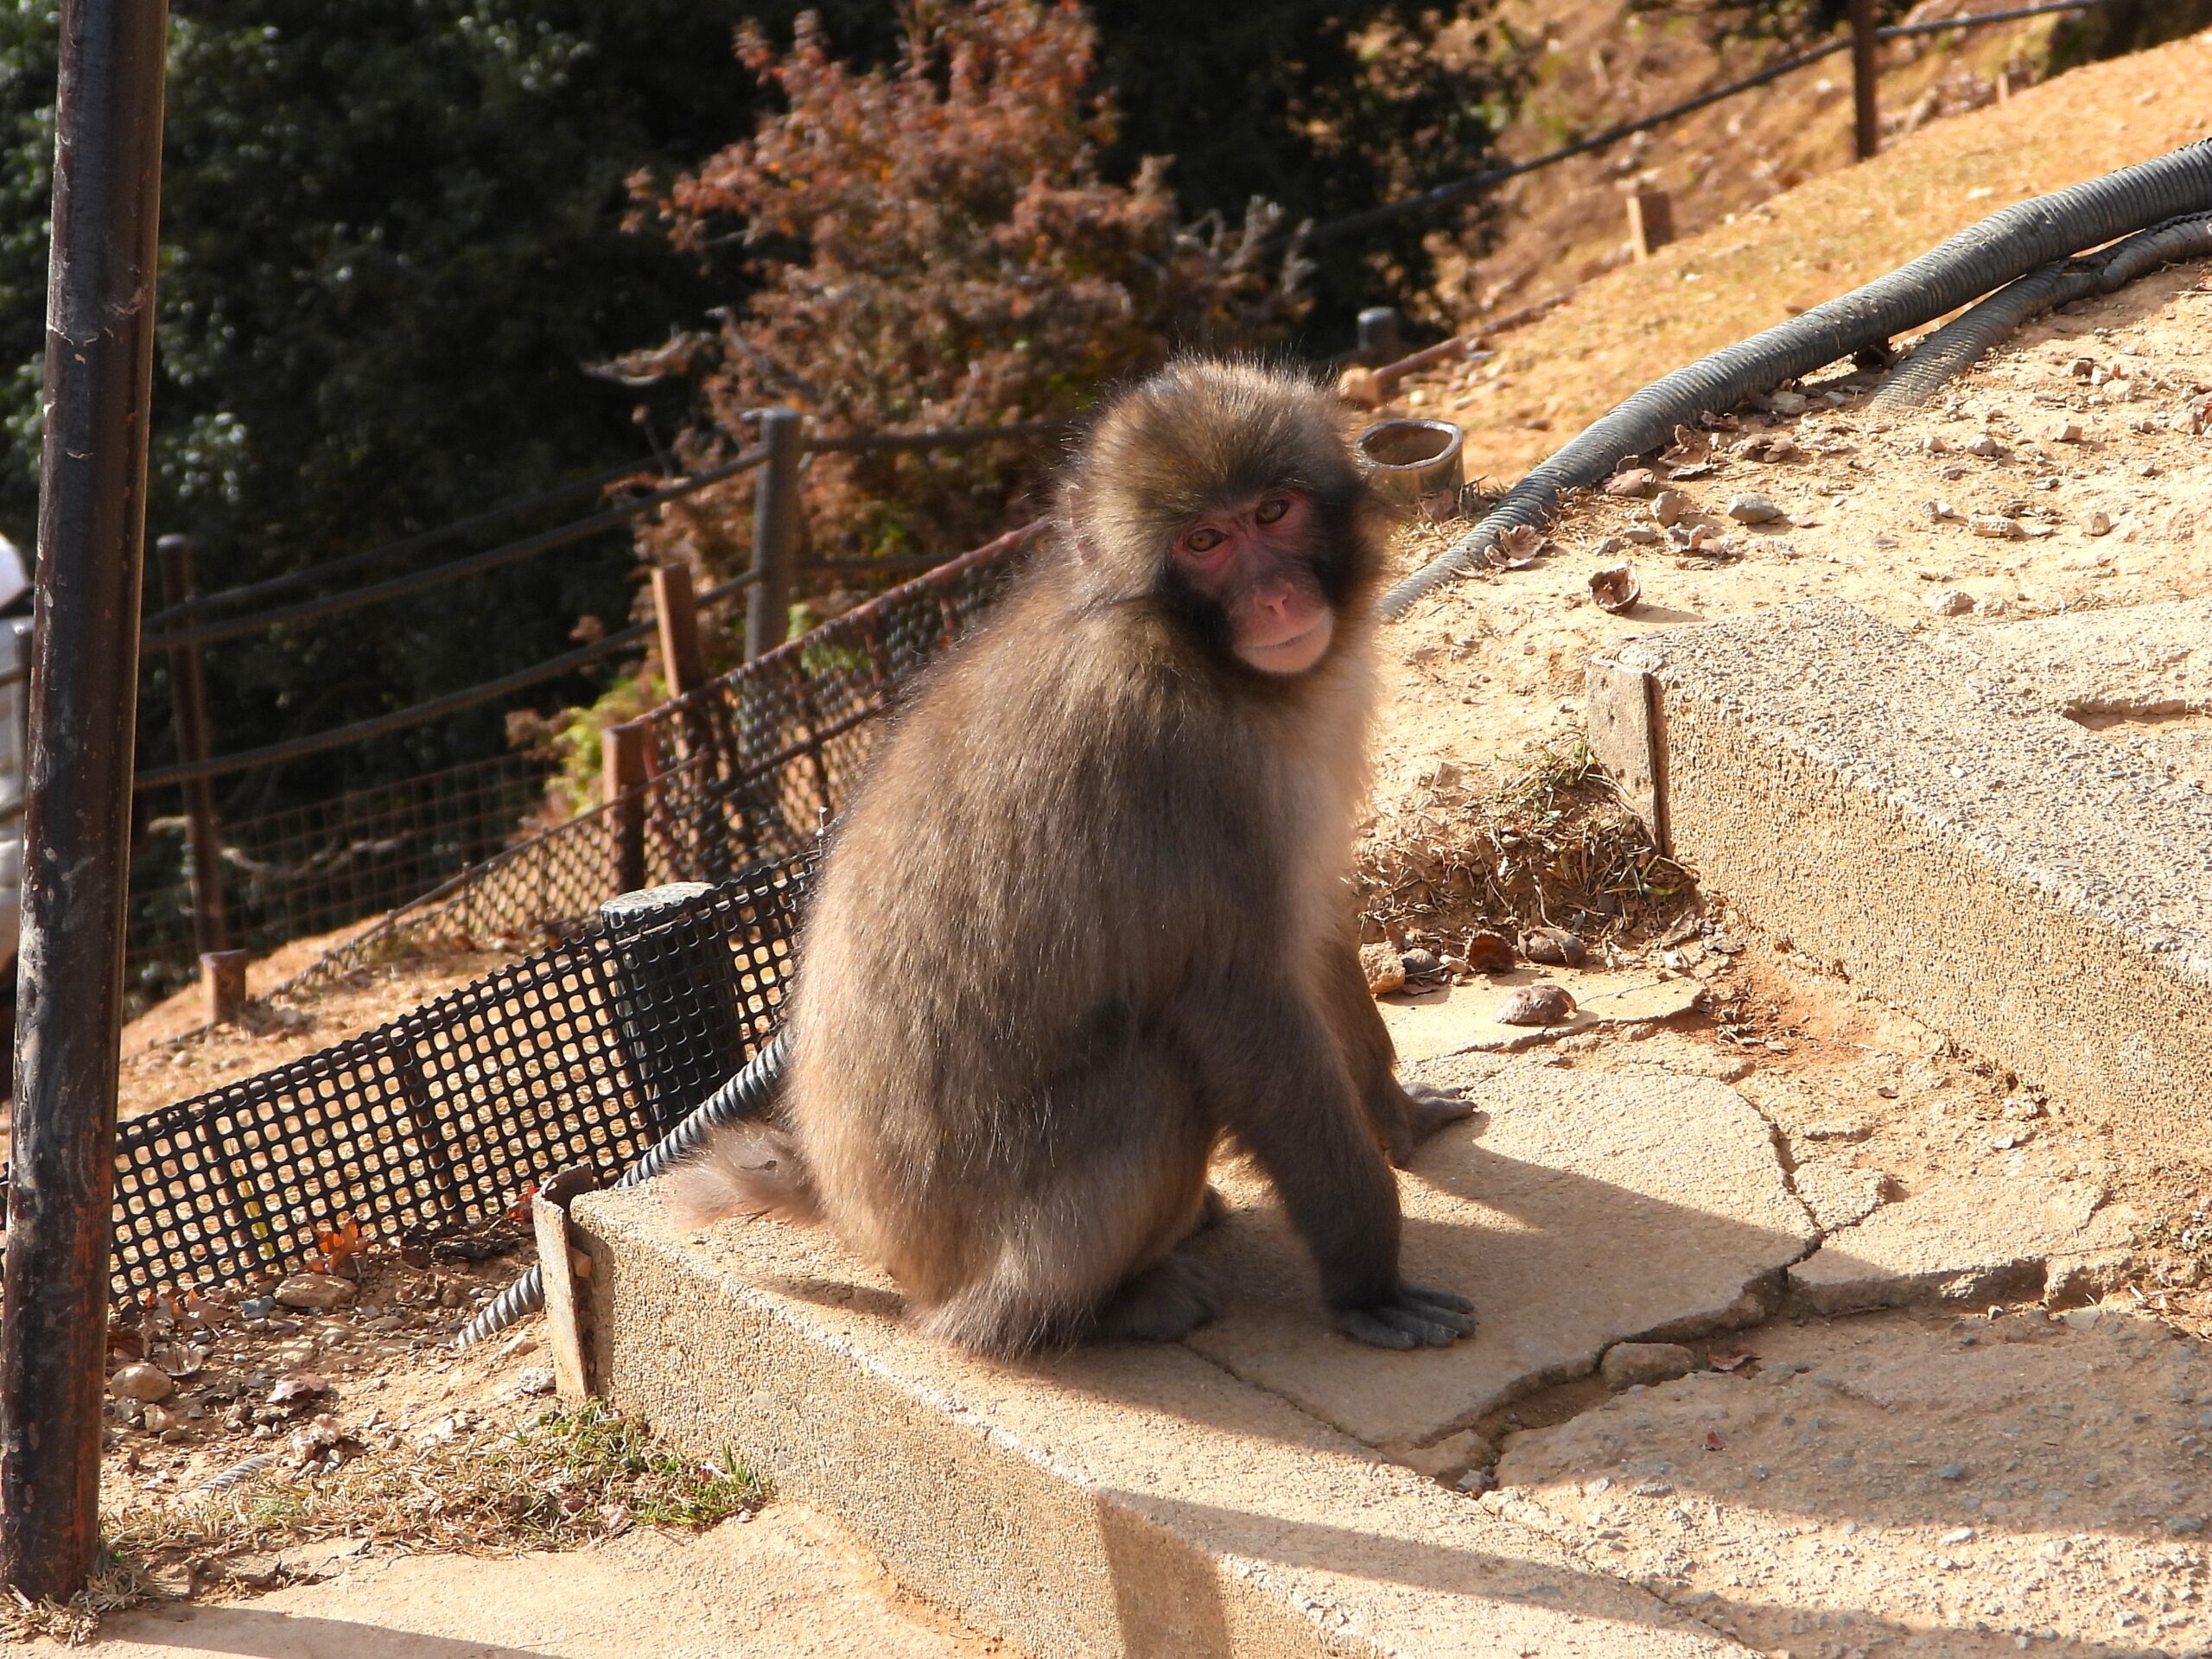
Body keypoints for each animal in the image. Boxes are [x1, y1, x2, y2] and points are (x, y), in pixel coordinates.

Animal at [672, 358, 1475, 1357]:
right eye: (1205, 542)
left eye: (1274, 512)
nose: (1276, 600)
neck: (1201, 660)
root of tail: (863, 1224)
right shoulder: (1173, 768)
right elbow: (1235, 996)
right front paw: (1368, 1280)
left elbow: (1317, 921)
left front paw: (1397, 1117)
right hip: (1005, 1232)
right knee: (1157, 1078)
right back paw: (1091, 1310)